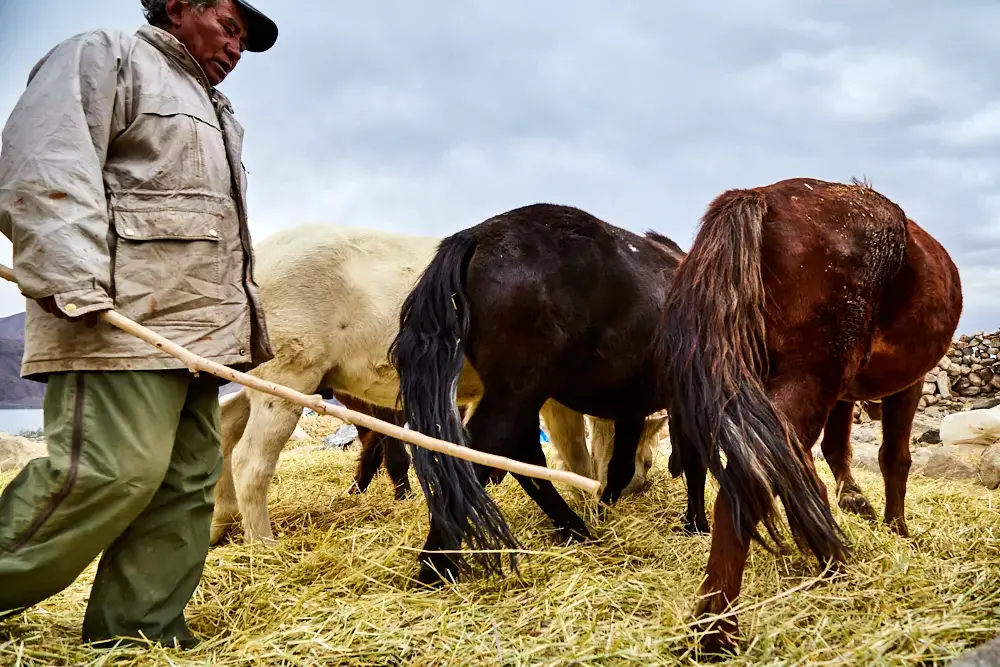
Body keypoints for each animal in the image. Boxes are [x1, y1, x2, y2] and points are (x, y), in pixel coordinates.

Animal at [211, 224, 664, 548]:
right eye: (646, 447)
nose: (641, 486)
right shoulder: (551, 396)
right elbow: (576, 457)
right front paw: (589, 507)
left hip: (260, 381)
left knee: (226, 430)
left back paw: (221, 521)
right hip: (287, 378)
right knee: (251, 462)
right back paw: (263, 546)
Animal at [386, 202, 700, 584]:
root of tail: (478, 235)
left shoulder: (631, 405)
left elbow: (621, 463)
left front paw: (607, 504)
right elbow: (692, 462)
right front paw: (696, 524)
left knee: (520, 458)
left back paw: (574, 528)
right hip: (518, 393)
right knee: (480, 455)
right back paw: (437, 564)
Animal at [656, 176, 960, 652]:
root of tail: (760, 197)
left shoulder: (844, 394)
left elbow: (835, 450)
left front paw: (854, 503)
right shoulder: (906, 384)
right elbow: (894, 458)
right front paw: (897, 529)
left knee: (784, 467)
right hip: (812, 378)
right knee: (757, 473)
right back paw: (717, 630)